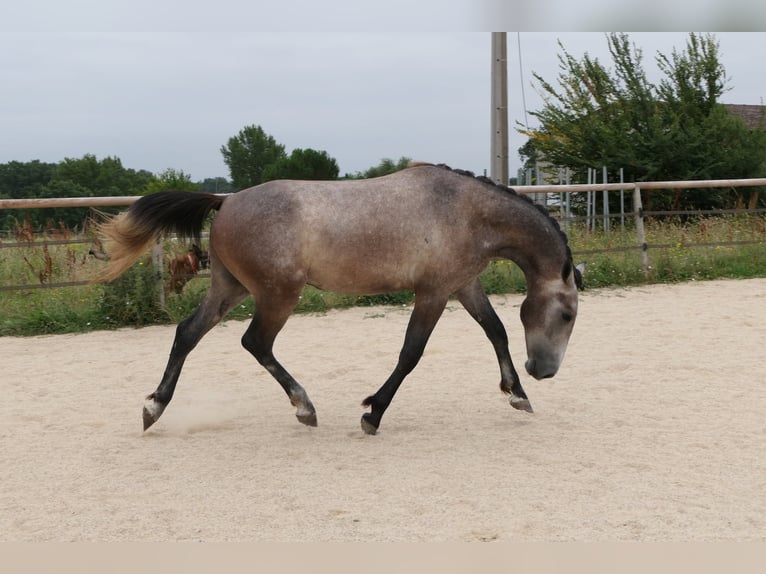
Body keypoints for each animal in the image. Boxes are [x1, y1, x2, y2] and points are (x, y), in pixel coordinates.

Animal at [97, 163, 583, 435]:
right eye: (567, 313)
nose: (544, 371)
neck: (464, 211)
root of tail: (226, 199)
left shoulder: (463, 286)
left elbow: (496, 331)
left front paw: (518, 395)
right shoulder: (433, 293)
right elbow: (411, 354)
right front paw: (373, 414)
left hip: (229, 287)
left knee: (188, 332)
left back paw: (154, 407)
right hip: (277, 294)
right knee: (255, 342)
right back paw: (304, 407)